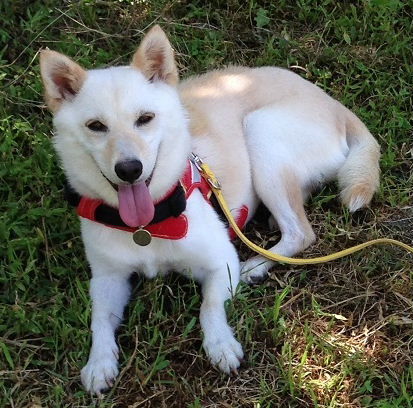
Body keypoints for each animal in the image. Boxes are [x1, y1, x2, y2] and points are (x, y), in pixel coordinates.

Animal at [40, 25, 380, 395]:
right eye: (96, 126)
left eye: (145, 119)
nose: (129, 169)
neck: (146, 226)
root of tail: (335, 105)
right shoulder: (107, 278)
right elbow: (99, 320)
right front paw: (99, 362)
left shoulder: (221, 262)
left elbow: (209, 306)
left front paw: (220, 344)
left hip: (260, 131)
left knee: (301, 232)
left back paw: (255, 265)